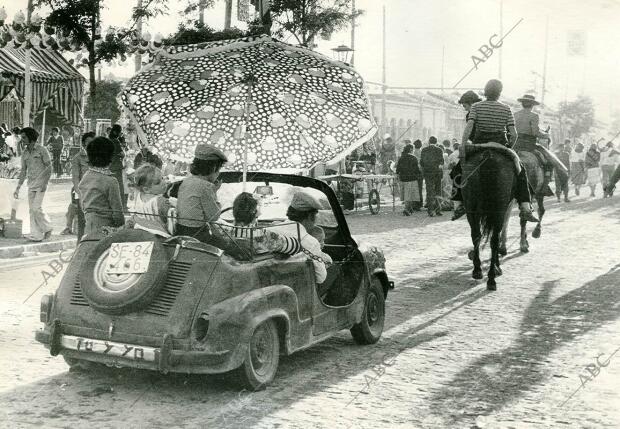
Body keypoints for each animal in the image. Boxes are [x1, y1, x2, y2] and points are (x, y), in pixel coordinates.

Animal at [462, 147, 516, 290]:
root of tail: (488, 157)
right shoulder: (505, 208)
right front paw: (497, 265)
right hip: (499, 208)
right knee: (494, 239)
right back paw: (492, 277)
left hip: (471, 206)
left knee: (476, 235)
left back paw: (477, 270)